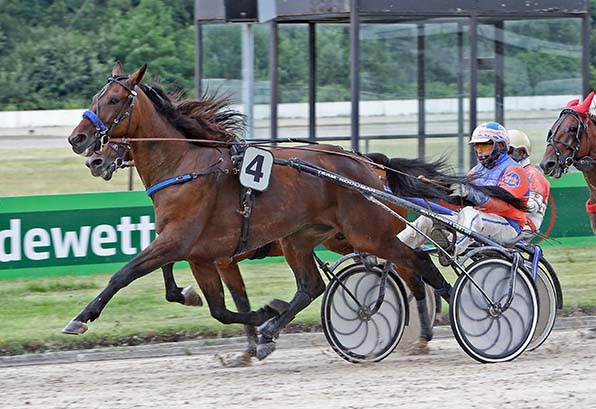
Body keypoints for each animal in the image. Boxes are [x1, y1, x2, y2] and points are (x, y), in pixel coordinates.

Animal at [66, 62, 456, 358]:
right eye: (95, 98)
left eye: (114, 100)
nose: (81, 143)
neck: (185, 165)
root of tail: (366, 164)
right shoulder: (201, 254)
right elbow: (221, 308)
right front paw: (260, 322)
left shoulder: (182, 242)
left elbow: (124, 274)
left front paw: (82, 317)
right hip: (306, 238)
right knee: (316, 284)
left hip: (367, 232)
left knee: (414, 263)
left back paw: (454, 308)